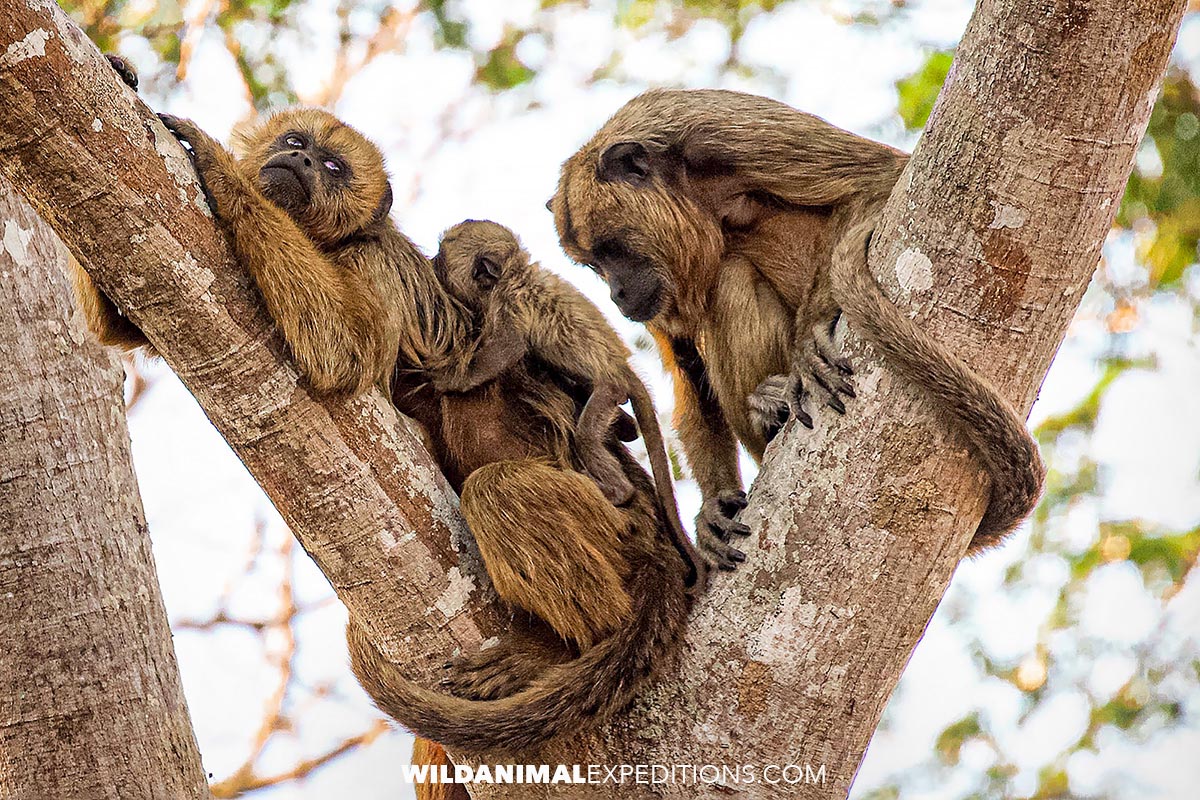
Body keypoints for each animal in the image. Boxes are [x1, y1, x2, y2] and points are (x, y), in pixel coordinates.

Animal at [549, 88, 1045, 568]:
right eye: (594, 265)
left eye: (613, 250)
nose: (617, 294)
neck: (688, 190)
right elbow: (688, 365)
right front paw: (712, 507)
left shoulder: (717, 130)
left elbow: (881, 178)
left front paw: (810, 340)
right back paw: (768, 414)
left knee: (730, 275)